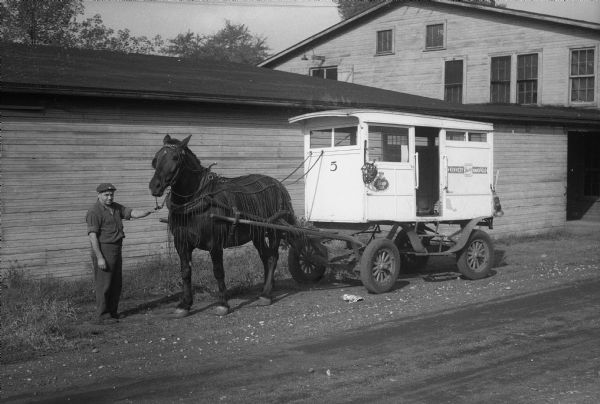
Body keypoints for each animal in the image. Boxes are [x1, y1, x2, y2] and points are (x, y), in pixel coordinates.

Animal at [149, 134, 296, 318]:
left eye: (175, 158)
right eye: (156, 158)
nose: (155, 186)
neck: (196, 200)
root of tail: (278, 184)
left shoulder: (215, 243)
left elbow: (218, 271)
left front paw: (223, 304)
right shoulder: (181, 244)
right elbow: (185, 272)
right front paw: (185, 304)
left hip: (274, 229)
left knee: (272, 258)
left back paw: (266, 294)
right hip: (257, 233)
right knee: (265, 257)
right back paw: (266, 289)